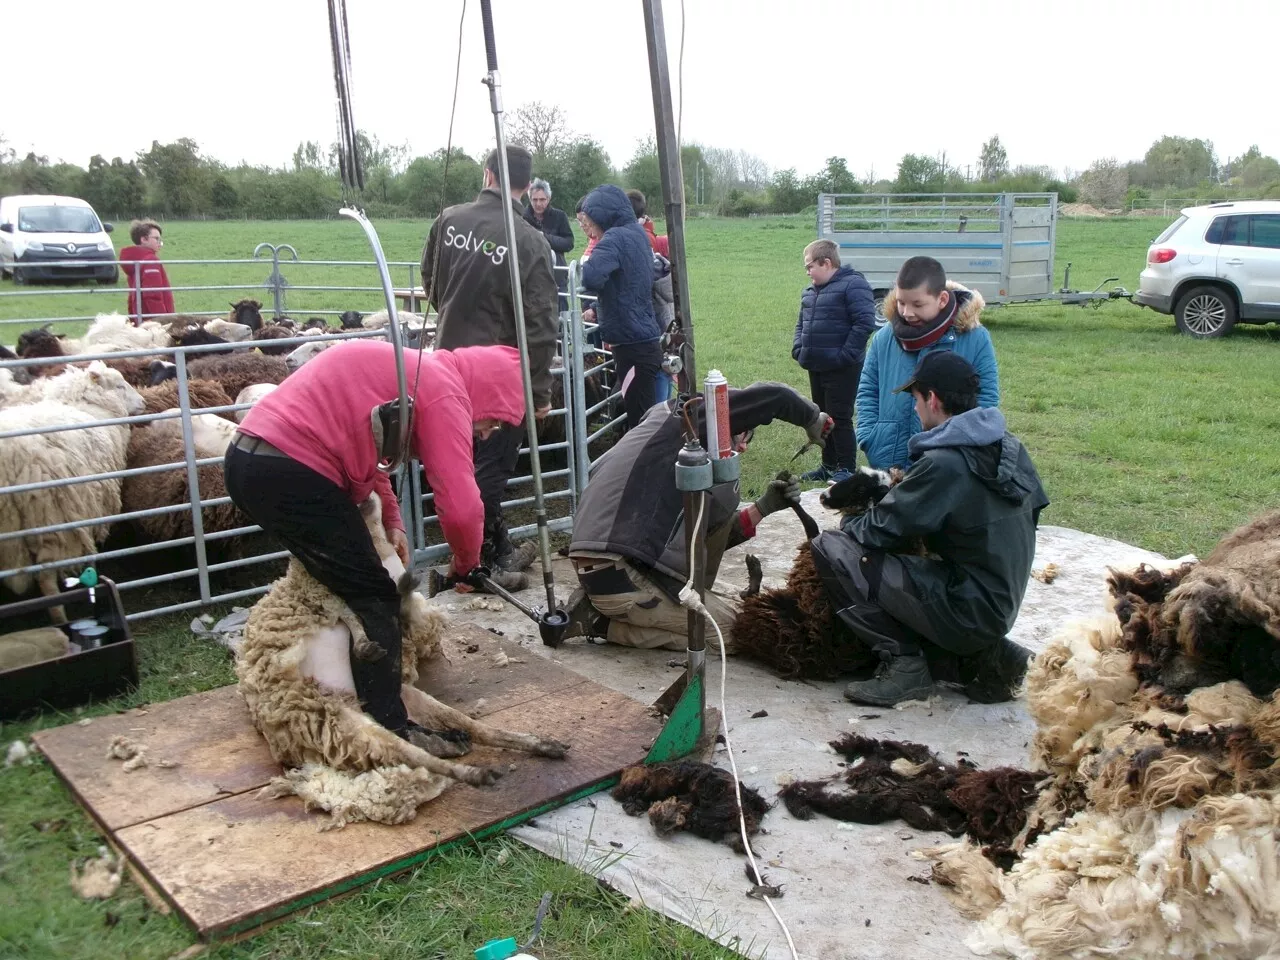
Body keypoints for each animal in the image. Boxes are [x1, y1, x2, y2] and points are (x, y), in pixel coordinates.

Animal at [0, 363, 145, 611]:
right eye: (119, 386)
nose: (144, 402)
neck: (89, 408)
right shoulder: (90, 503)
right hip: (48, 516)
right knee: (46, 579)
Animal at [238, 496, 568, 829]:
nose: (367, 498)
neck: (378, 547)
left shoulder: (392, 612)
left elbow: (393, 607)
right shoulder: (332, 593)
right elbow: (358, 613)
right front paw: (370, 637)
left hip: (402, 698)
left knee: (470, 728)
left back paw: (537, 745)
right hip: (338, 720)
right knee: (409, 753)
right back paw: (474, 772)